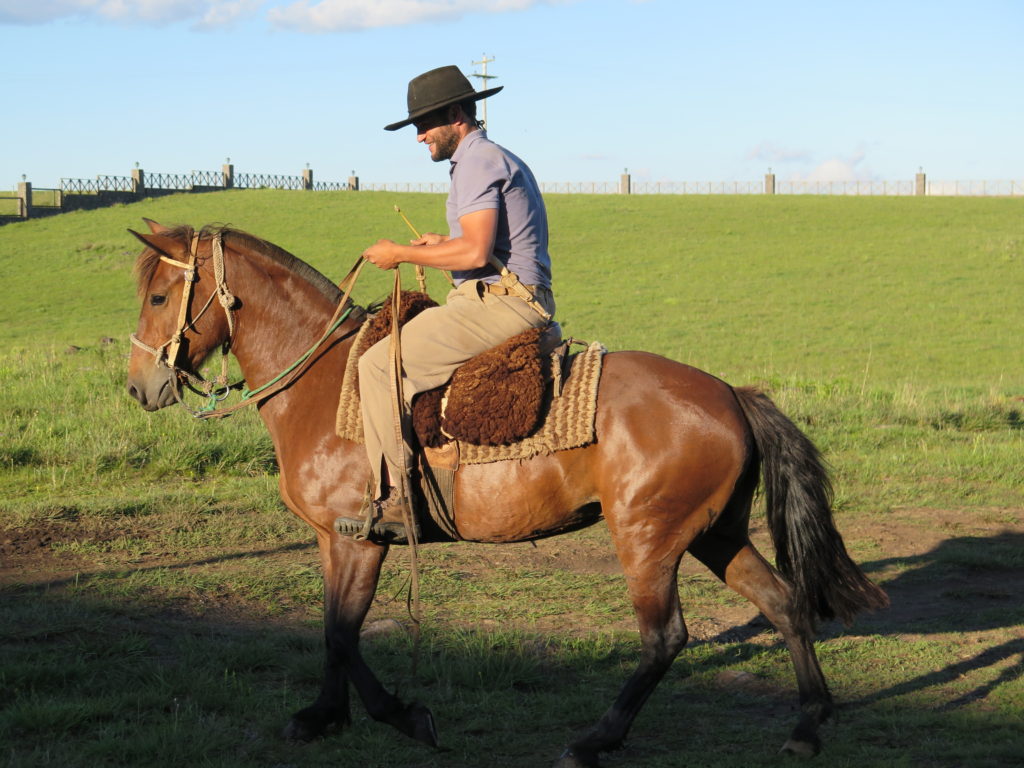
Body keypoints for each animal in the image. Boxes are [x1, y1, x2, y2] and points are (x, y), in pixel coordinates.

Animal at [125, 222, 888, 768]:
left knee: (665, 637)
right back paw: (808, 724)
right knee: (784, 603)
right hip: (714, 533)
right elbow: (332, 628)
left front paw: (405, 717)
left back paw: (594, 740)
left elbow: (344, 632)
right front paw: (324, 716)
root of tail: (732, 392)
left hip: (649, 540)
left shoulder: (364, 538)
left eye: (160, 297)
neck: (326, 382)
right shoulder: (334, 540)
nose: (139, 388)